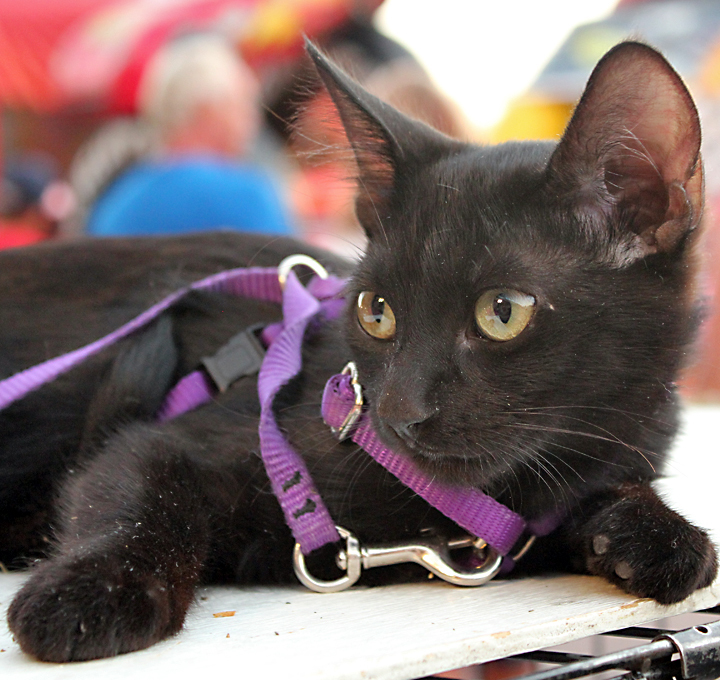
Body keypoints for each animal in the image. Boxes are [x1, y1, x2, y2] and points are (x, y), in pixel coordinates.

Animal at [2, 39, 716, 660]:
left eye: (503, 312)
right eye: (377, 312)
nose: (398, 411)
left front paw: (653, 535)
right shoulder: (168, 439)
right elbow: (136, 492)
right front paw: (94, 590)